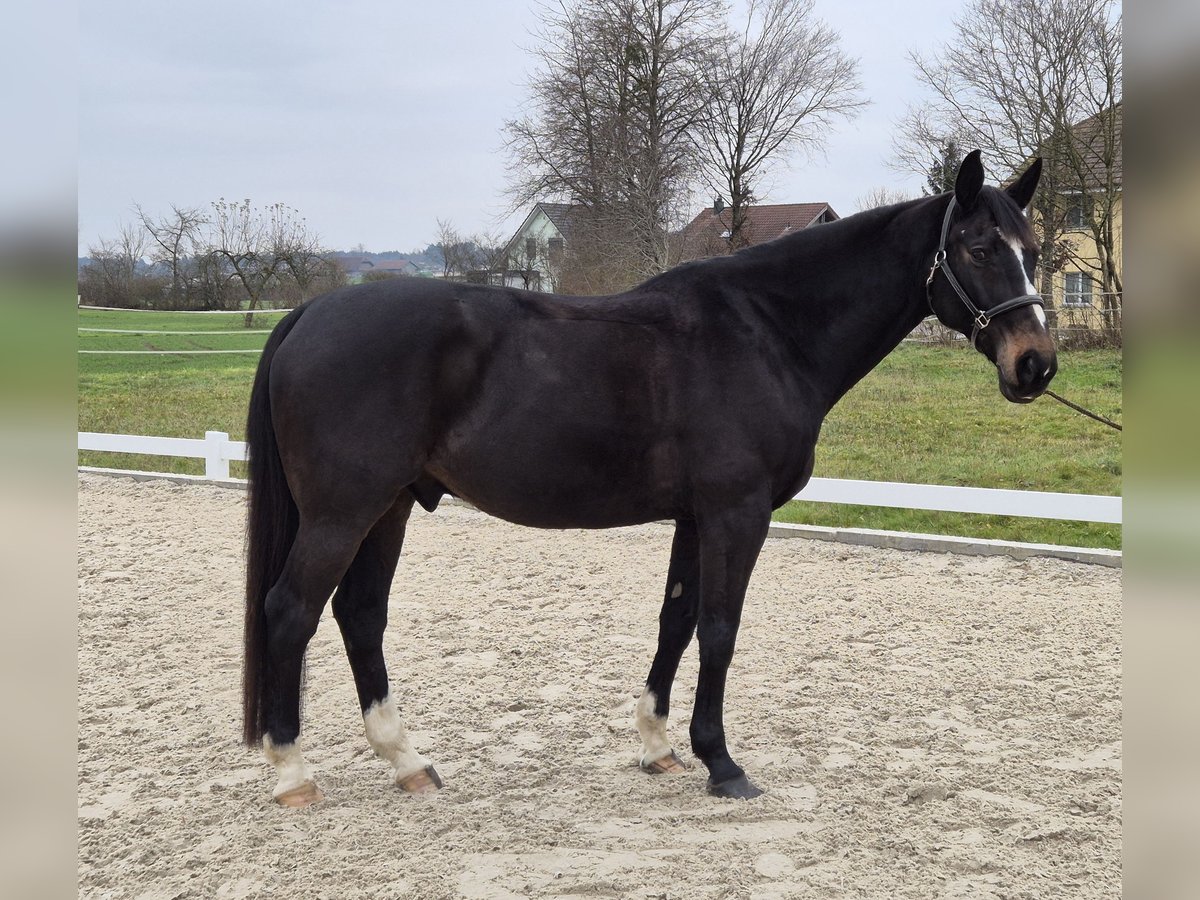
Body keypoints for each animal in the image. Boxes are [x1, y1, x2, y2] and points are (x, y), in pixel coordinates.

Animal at [241, 151, 1051, 806]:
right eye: (979, 247)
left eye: (1035, 251)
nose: (1035, 364)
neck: (764, 331)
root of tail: (310, 312)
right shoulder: (736, 512)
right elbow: (720, 627)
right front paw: (722, 763)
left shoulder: (695, 515)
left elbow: (677, 620)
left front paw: (659, 747)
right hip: (343, 513)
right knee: (290, 611)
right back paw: (294, 775)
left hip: (390, 508)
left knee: (360, 615)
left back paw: (407, 762)